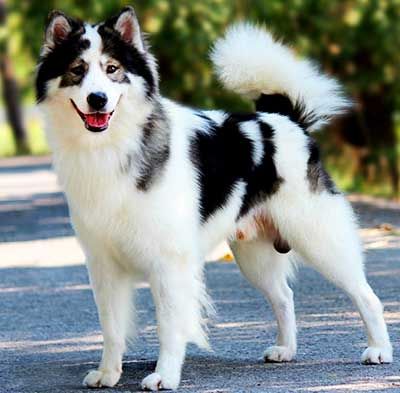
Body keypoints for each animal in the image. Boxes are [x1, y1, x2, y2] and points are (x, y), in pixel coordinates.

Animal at [36, 6, 392, 388]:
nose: (97, 99)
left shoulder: (170, 263)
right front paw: (108, 372)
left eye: (112, 69)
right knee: (284, 297)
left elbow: (169, 326)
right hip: (256, 256)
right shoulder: (103, 263)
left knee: (366, 295)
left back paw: (379, 350)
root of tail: (285, 120)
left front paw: (164, 375)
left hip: (319, 238)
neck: (114, 145)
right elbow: (112, 327)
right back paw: (286, 349)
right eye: (77, 70)